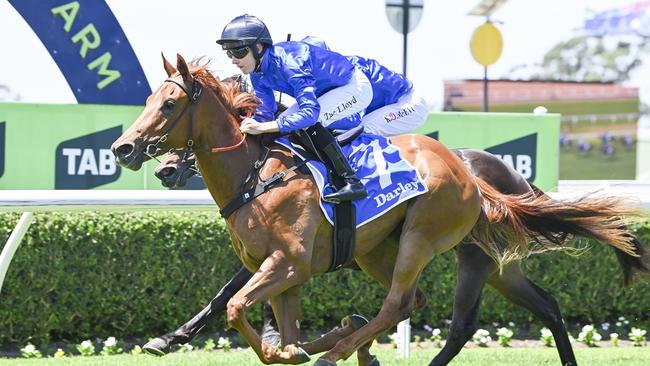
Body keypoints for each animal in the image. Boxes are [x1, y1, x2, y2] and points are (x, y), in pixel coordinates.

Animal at [112, 55, 644, 366]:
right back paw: (346, 341)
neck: (257, 174)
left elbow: (237, 305)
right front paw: (293, 342)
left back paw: (340, 349)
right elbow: (259, 315)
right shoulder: (279, 269)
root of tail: (469, 174)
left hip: (427, 241)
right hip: (414, 255)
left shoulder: (288, 262)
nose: (124, 149)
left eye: (170, 104)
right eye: (149, 99)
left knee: (410, 307)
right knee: (522, 306)